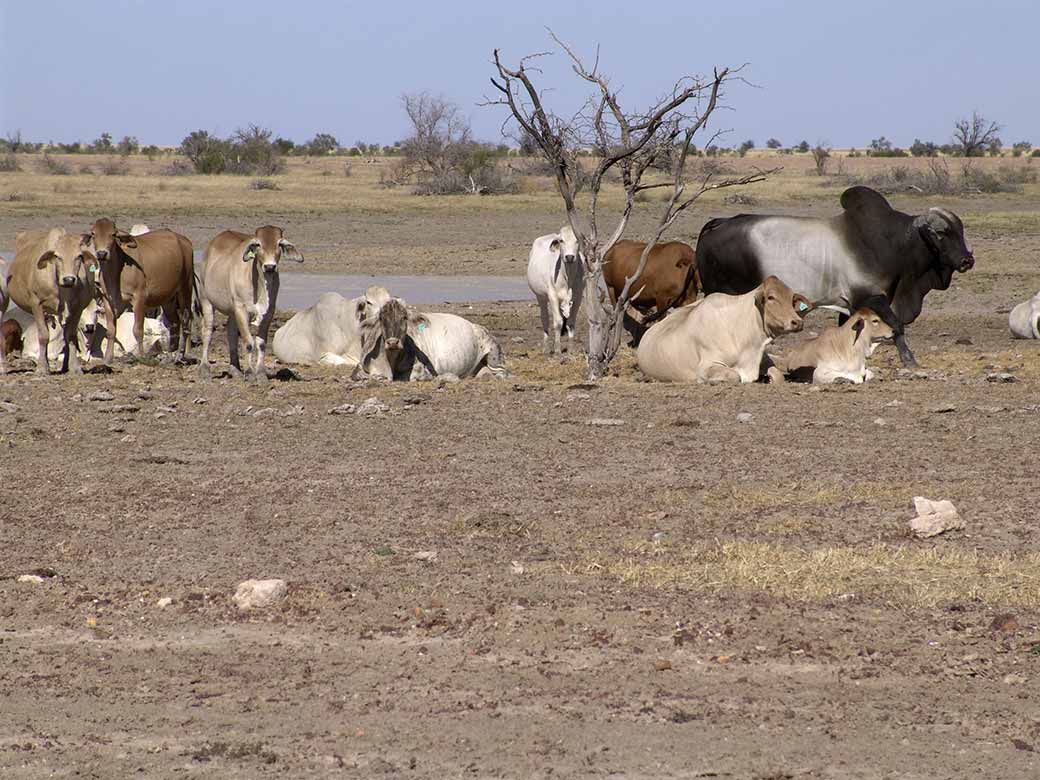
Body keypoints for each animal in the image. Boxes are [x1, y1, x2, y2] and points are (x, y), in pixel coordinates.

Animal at [353, 299, 507, 382]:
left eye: (404, 317)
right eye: (381, 318)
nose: (392, 342)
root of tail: (476, 326)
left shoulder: (424, 370)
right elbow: (359, 374)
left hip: (494, 355)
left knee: (502, 372)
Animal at [528, 224, 586, 355]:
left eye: (577, 240)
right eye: (561, 240)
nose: (569, 257)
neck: (567, 277)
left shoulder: (578, 298)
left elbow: (570, 323)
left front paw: (570, 349)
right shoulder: (552, 296)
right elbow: (558, 322)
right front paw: (558, 349)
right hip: (540, 297)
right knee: (545, 319)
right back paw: (546, 348)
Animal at [632, 276, 811, 382]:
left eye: (791, 298)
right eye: (771, 297)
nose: (797, 322)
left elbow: (778, 376)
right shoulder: (706, 365)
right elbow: (734, 376)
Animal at [690, 186, 973, 366]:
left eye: (960, 231)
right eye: (942, 233)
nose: (967, 260)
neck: (892, 243)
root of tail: (717, 223)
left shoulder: (849, 305)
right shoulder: (871, 297)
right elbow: (896, 325)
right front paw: (909, 359)